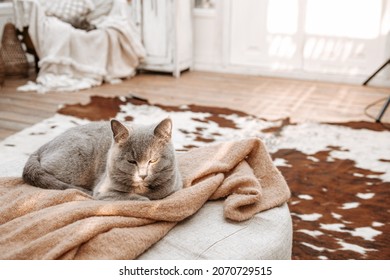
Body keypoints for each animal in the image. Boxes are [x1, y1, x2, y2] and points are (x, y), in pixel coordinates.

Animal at [22, 118, 183, 201]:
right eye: (131, 161)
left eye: (153, 160)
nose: (143, 175)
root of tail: (44, 145)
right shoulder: (103, 192)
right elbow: (134, 198)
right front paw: (144, 199)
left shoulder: (175, 186)